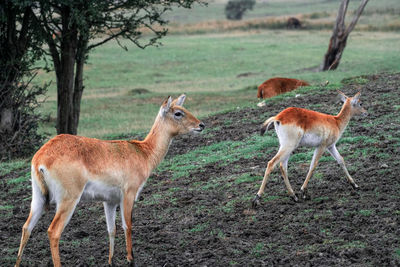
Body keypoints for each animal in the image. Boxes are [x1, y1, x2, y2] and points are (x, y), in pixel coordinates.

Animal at [14, 94, 205, 267]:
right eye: (178, 113)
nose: (201, 125)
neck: (144, 152)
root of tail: (40, 158)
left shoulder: (109, 201)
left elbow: (111, 229)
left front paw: (111, 261)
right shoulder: (128, 194)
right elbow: (128, 226)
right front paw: (131, 260)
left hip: (38, 198)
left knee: (26, 227)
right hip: (68, 199)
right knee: (53, 231)